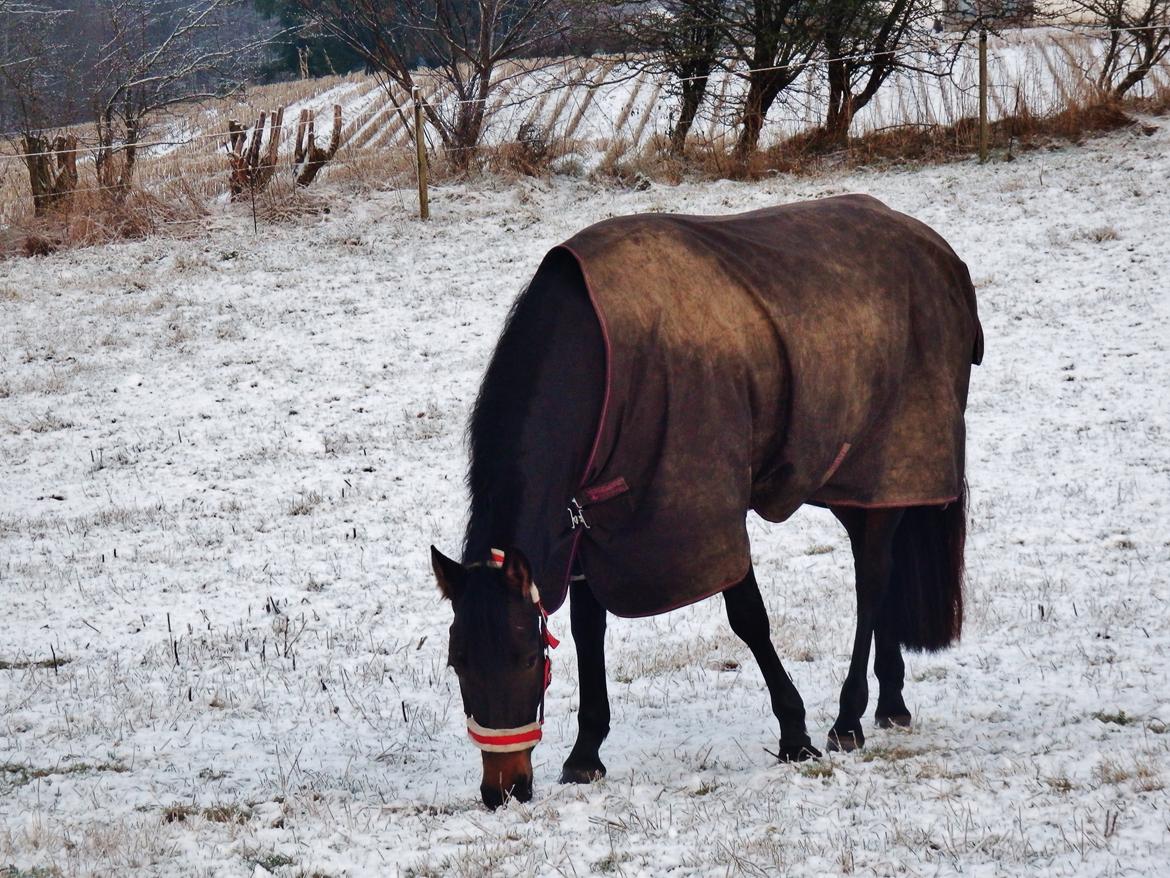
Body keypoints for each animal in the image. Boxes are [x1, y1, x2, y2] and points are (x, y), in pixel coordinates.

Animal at [430, 194, 978, 810]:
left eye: (526, 658)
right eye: (457, 661)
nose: (503, 790)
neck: (603, 359)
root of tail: (933, 246)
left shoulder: (706, 509)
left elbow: (749, 619)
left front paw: (795, 735)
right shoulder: (596, 524)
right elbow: (588, 633)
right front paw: (585, 754)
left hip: (884, 470)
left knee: (872, 581)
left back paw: (849, 717)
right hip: (849, 484)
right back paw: (891, 703)